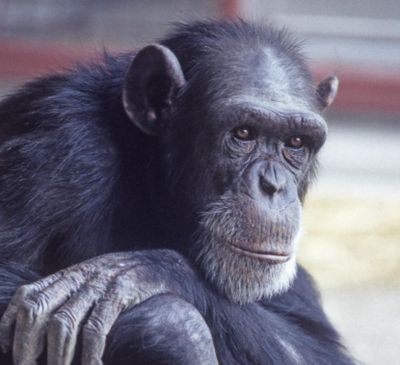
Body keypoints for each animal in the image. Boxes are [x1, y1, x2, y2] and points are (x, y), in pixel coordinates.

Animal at [0, 20, 354, 364]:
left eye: (295, 142)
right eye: (243, 133)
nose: (273, 185)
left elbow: (320, 348)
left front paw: (147, 272)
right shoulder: (57, 149)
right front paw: (171, 326)